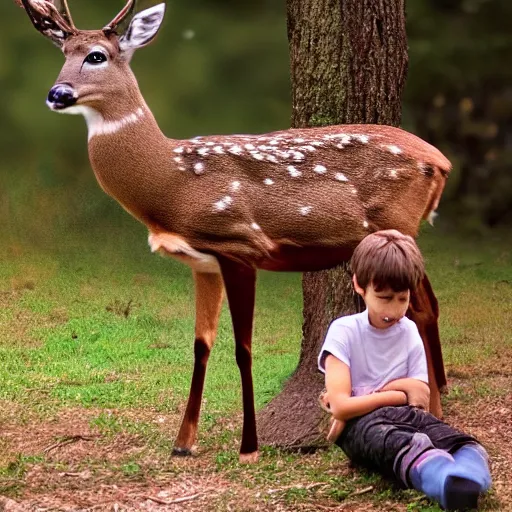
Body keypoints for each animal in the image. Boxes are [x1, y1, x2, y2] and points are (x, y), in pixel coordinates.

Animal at [14, 0, 450, 464]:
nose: (57, 94)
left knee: (422, 309)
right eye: (63, 54)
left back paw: (434, 405)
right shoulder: (202, 263)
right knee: (430, 306)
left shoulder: (238, 244)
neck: (172, 185)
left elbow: (243, 348)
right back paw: (438, 391)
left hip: (397, 223)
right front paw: (183, 443)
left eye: (96, 55)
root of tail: (441, 162)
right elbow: (201, 344)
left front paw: (248, 446)